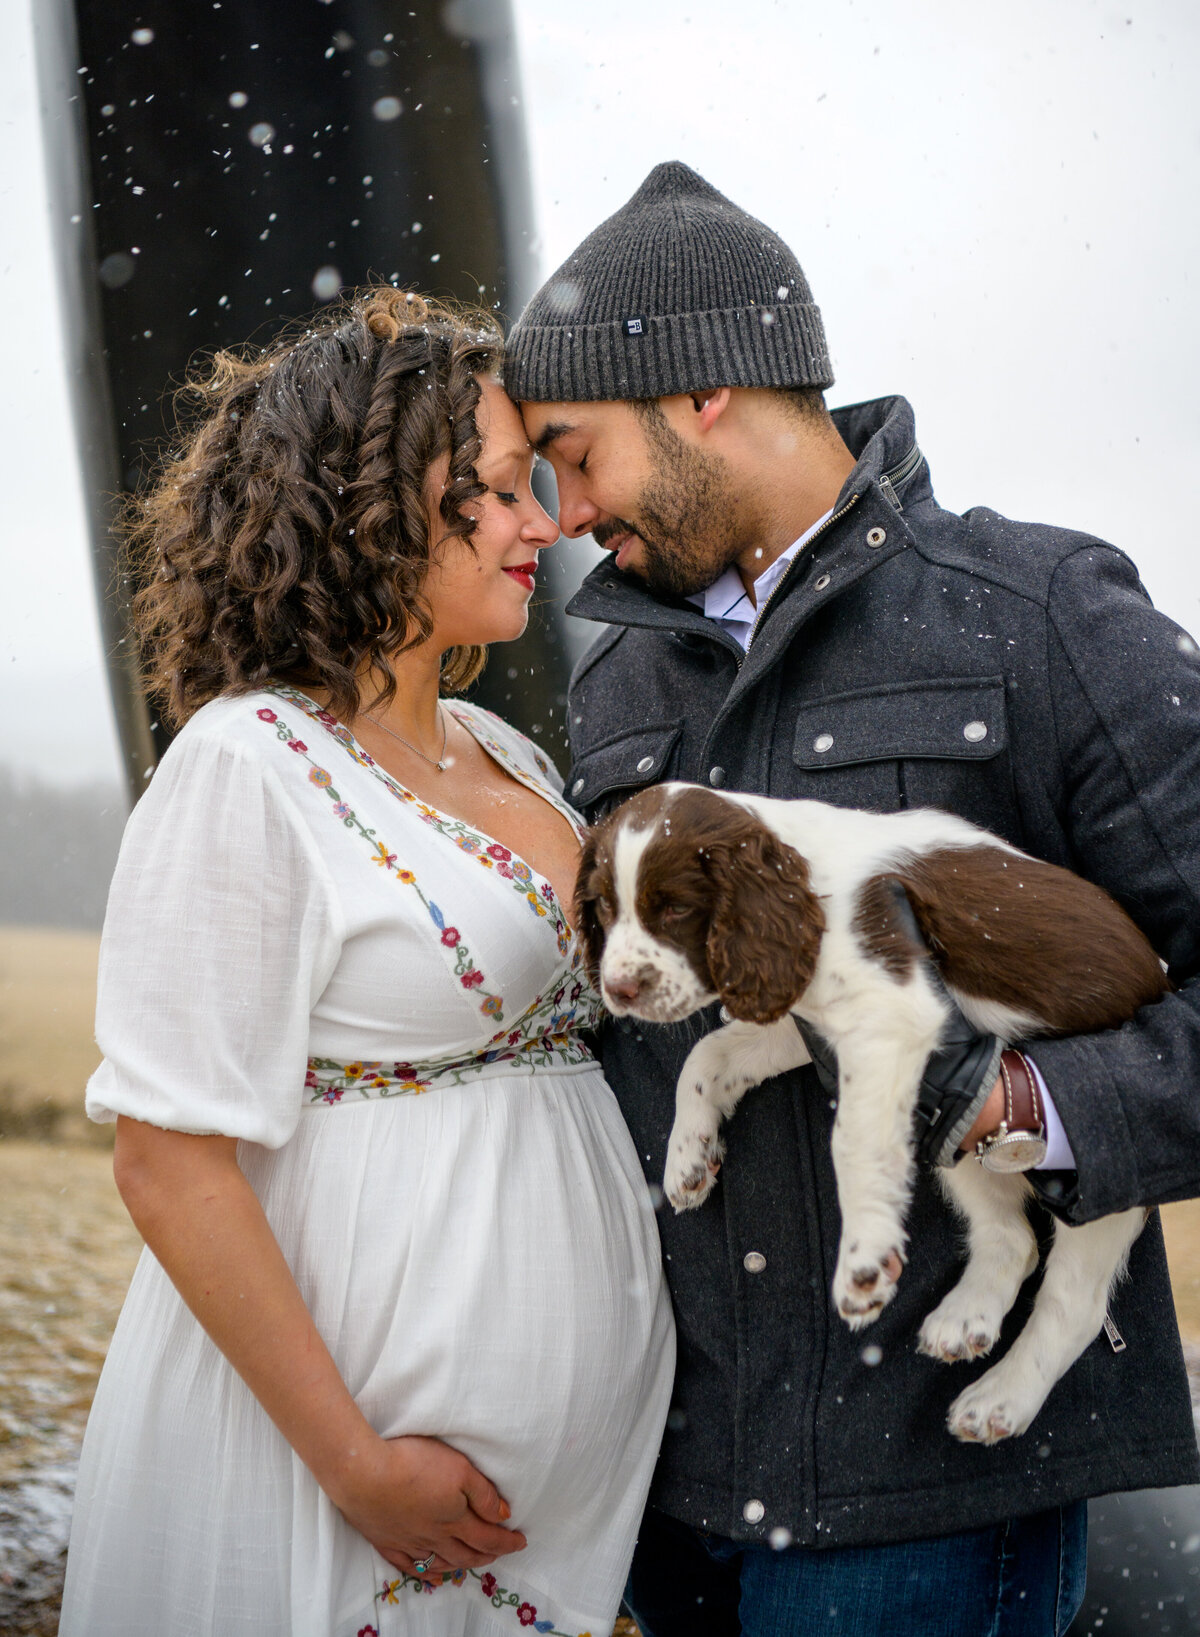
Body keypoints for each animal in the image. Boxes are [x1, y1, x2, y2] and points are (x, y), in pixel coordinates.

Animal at [576, 785, 1165, 1440]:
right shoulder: (804, 1012)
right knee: (1013, 1237)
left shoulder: (891, 1014)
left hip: (1095, 1170)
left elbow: (852, 1142)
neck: (803, 885)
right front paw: (687, 1160)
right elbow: (709, 1056)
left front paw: (862, 1265)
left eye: (676, 908)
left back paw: (1001, 1399)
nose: (619, 989)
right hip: (954, 1134)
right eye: (604, 908)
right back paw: (965, 1321)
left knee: (1076, 1300)